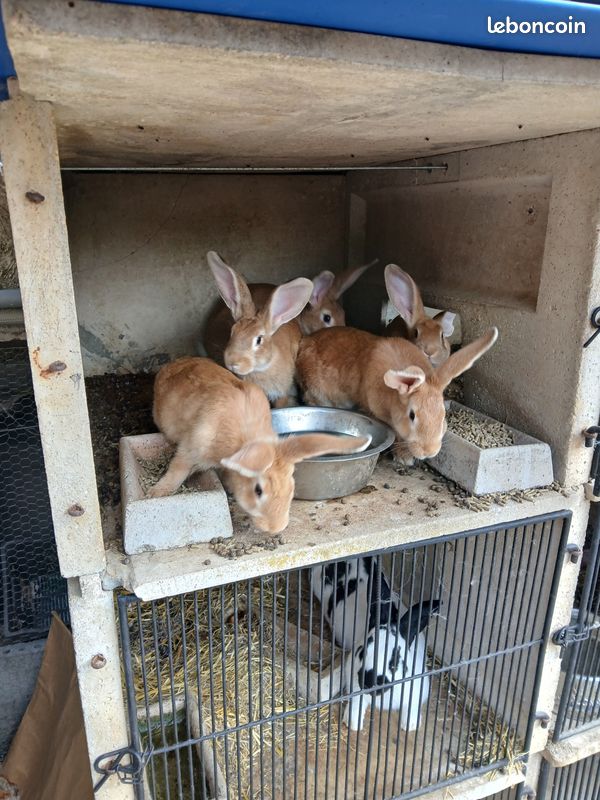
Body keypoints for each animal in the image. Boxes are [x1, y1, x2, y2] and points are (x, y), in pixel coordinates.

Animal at [147, 357, 371, 533]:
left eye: (291, 483)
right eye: (258, 491)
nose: (276, 528)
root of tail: (171, 365)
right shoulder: (190, 450)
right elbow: (177, 471)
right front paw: (156, 493)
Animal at [296, 325, 498, 461]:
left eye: (443, 415)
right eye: (412, 415)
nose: (429, 452)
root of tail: (304, 342)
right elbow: (396, 434)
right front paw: (404, 457)